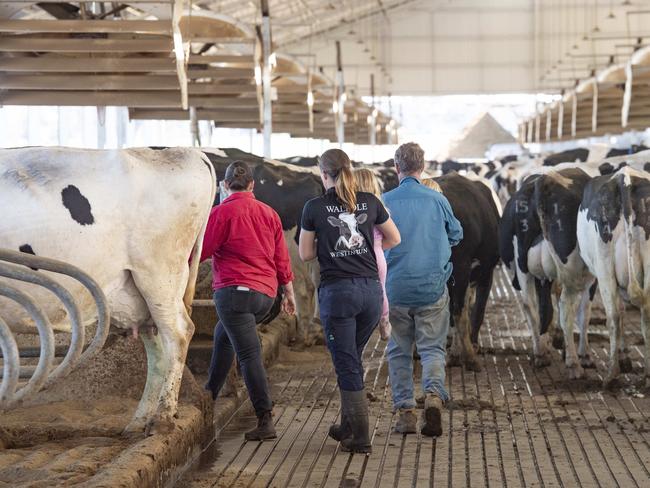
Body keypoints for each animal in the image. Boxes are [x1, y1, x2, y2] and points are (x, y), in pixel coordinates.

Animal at [0, 147, 218, 432]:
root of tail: (185, 151)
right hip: (137, 291)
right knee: (156, 345)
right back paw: (139, 421)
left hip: (159, 274)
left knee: (178, 334)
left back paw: (162, 417)